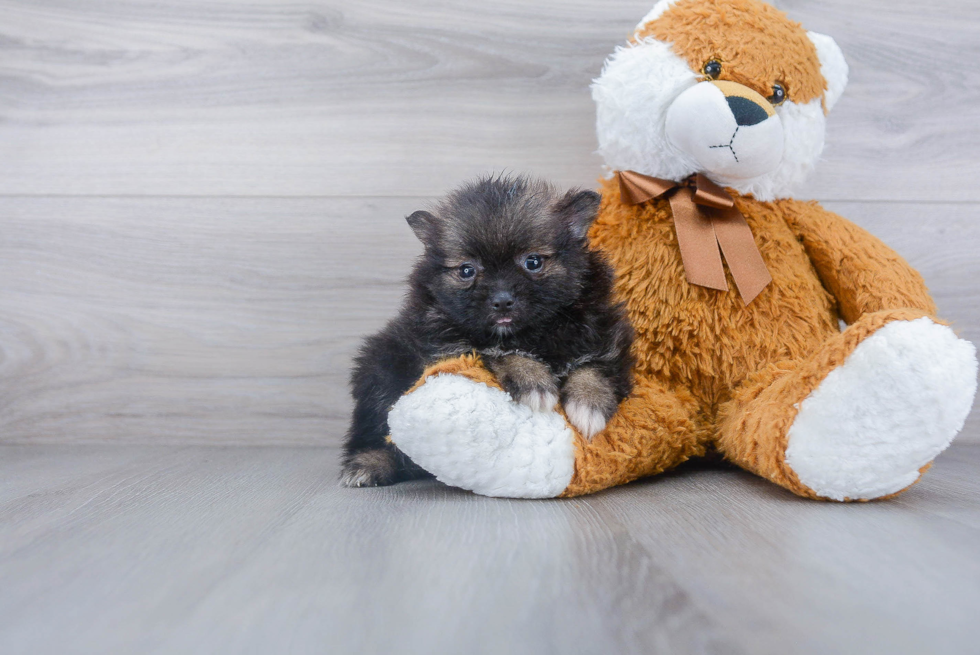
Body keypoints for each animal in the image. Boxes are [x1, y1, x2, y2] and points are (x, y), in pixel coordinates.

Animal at [342, 174, 636, 486]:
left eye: (533, 262)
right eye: (467, 270)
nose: (502, 300)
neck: (532, 332)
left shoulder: (605, 336)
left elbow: (594, 365)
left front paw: (589, 402)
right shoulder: (447, 344)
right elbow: (497, 350)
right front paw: (532, 380)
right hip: (380, 369)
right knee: (374, 431)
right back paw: (369, 463)